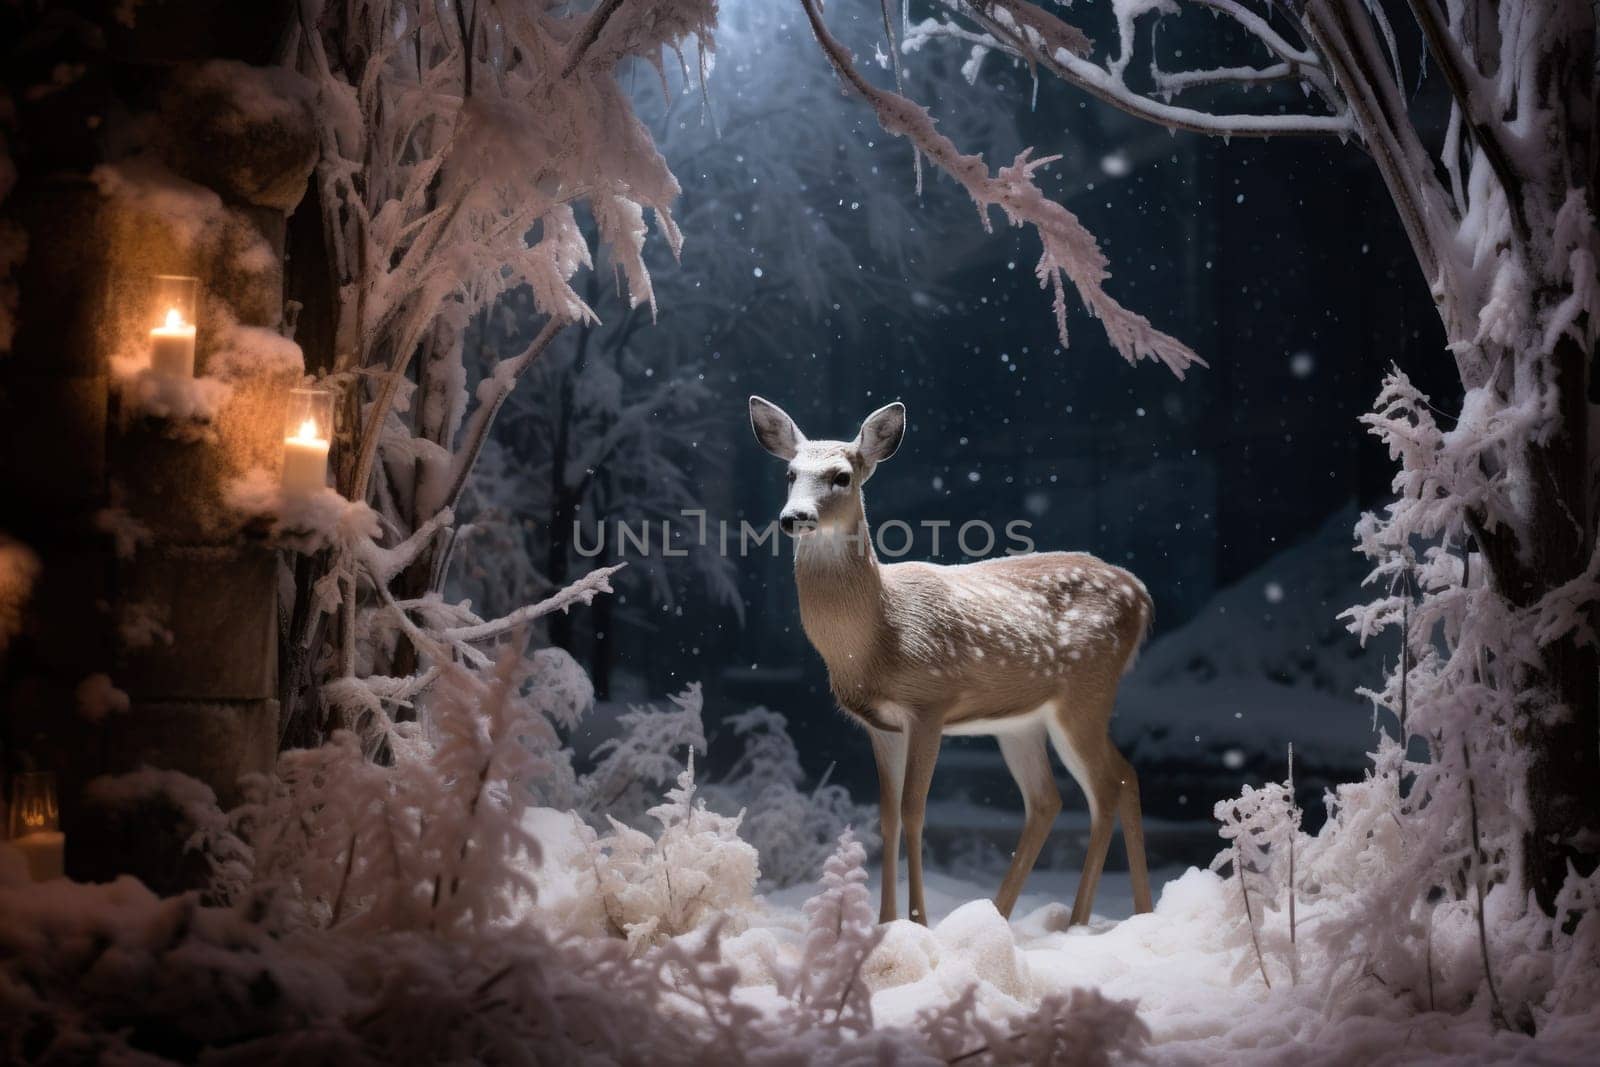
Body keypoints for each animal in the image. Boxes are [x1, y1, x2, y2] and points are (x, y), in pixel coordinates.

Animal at [748, 396, 1152, 927]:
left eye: (842, 476)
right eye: (790, 473)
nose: (795, 516)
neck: (877, 636)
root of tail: (1142, 595)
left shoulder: (930, 704)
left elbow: (916, 811)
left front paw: (918, 921)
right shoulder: (879, 724)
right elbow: (887, 816)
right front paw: (886, 922)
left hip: (1087, 693)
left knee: (1107, 785)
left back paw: (1078, 921)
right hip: (1022, 722)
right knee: (1057, 796)